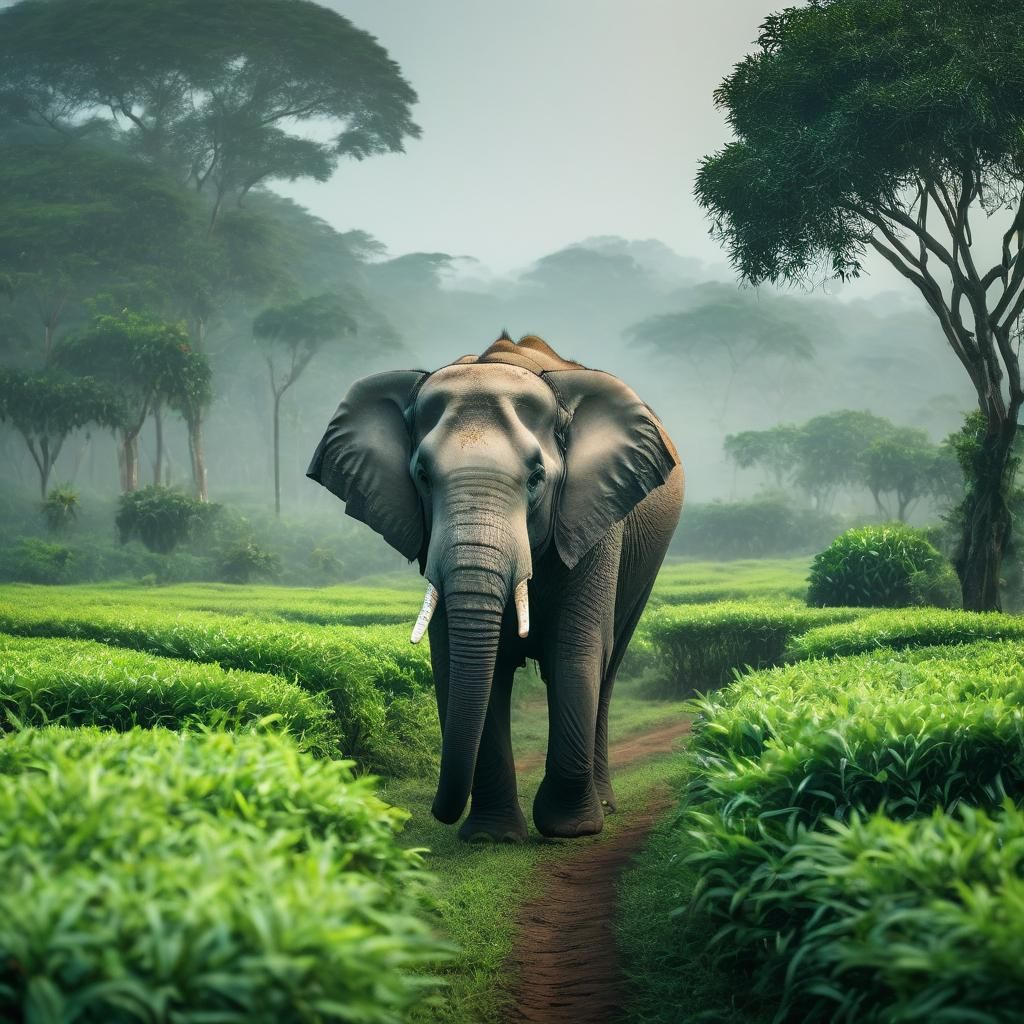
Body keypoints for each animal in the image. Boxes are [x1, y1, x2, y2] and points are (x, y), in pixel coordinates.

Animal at [307, 333, 683, 841]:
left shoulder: (594, 517)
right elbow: (459, 658)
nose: (432, 812)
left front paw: (568, 830)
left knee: (609, 662)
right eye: (422, 476)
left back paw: (604, 804)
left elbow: (576, 647)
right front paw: (491, 836)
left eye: (537, 478)